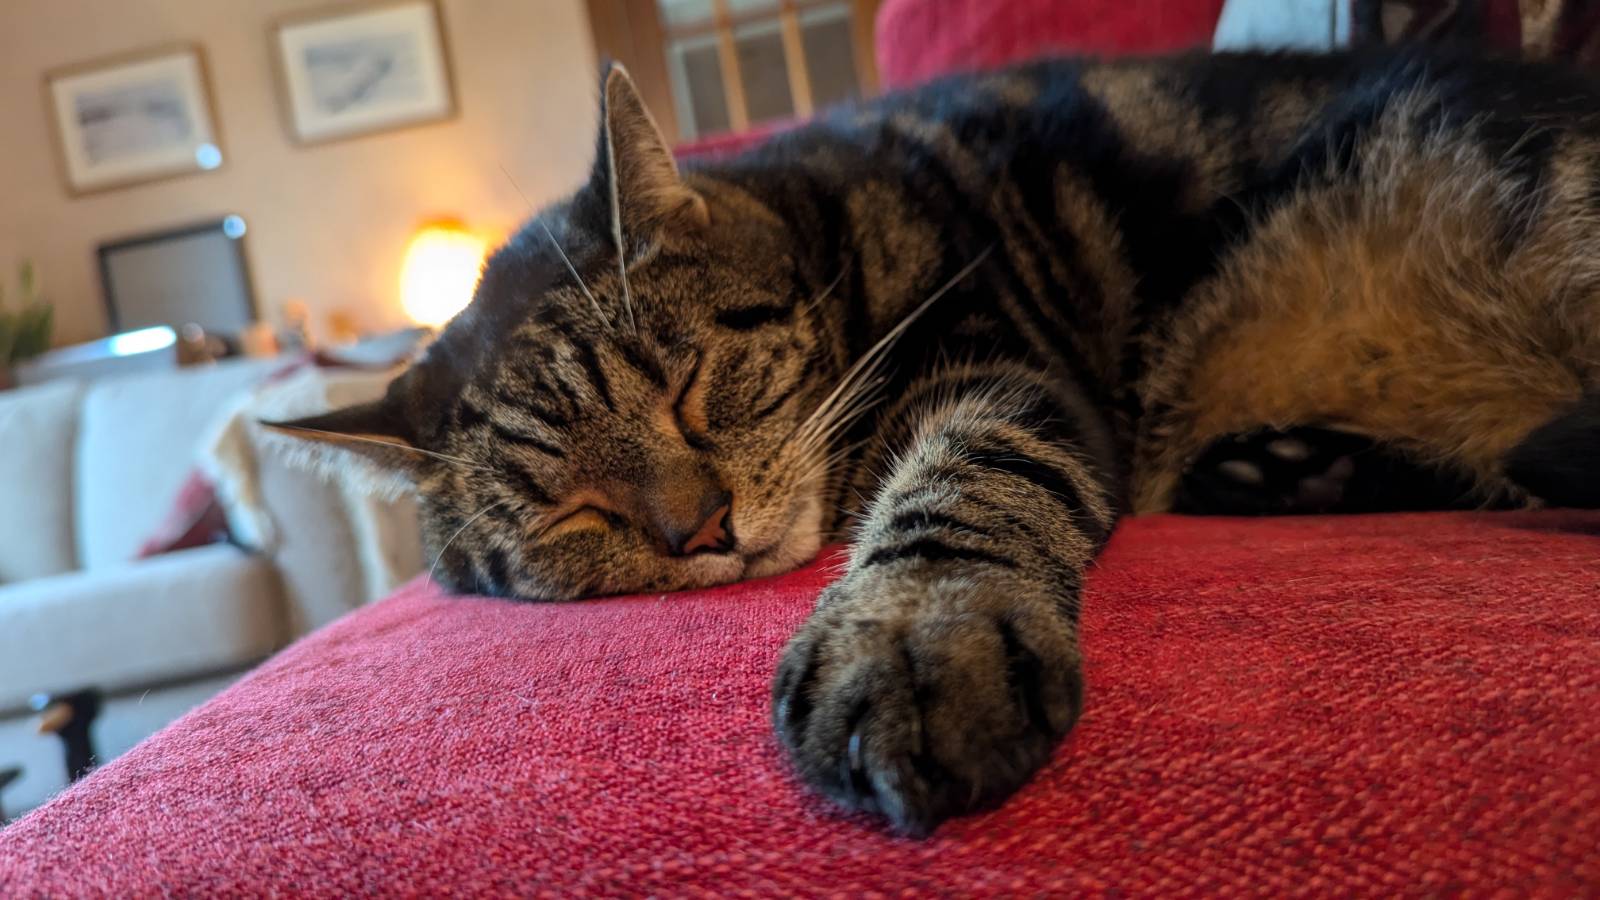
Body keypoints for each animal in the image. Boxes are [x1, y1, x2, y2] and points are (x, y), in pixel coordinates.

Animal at [272, 49, 1600, 832]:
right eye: (573, 516)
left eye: (689, 388)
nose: (702, 532)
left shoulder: (999, 375)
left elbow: (957, 489)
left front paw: (911, 641)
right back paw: (1288, 470)